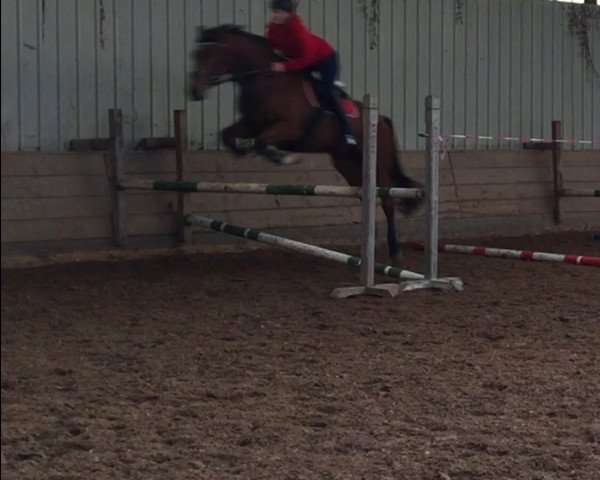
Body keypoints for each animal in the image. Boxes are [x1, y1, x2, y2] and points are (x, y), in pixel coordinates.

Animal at [188, 23, 422, 262]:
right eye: (195, 55)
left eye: (212, 54)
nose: (194, 92)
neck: (265, 79)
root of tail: (381, 119)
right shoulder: (250, 124)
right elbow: (227, 134)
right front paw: (240, 151)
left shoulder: (289, 128)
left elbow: (262, 142)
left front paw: (283, 158)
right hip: (348, 163)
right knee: (367, 194)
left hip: (378, 162)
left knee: (387, 200)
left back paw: (395, 249)